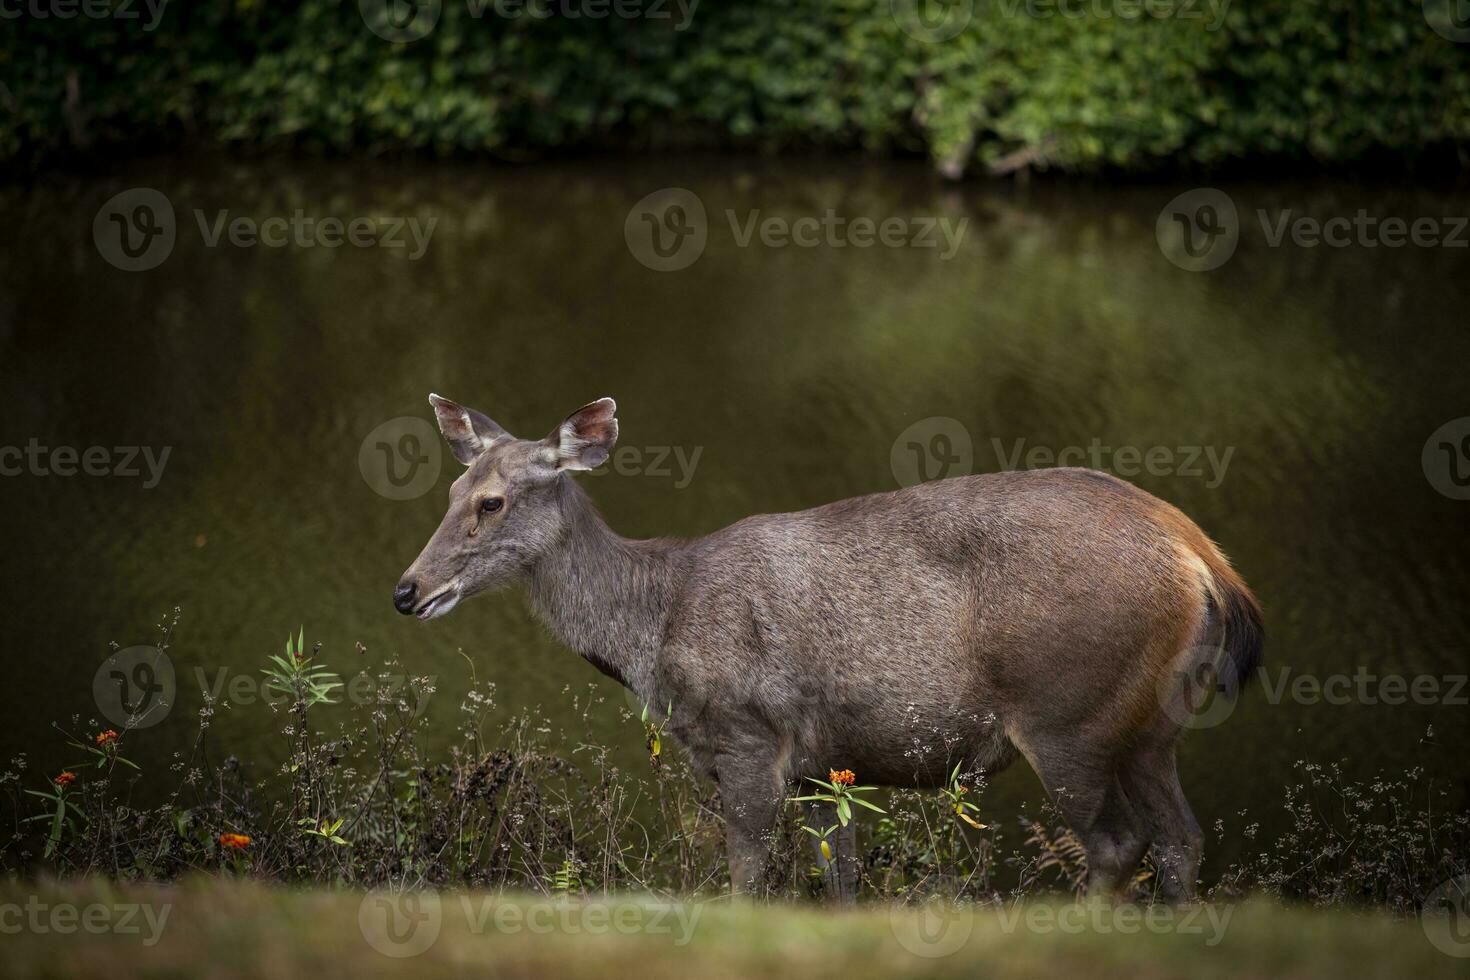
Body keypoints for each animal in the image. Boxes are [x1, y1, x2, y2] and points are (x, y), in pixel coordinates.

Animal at [393, 393, 1264, 899]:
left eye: (491, 502)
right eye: (450, 490)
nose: (405, 589)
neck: (657, 625)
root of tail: (1204, 561)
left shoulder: (746, 736)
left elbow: (746, 877)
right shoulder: (821, 765)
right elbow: (838, 882)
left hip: (1065, 712)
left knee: (1120, 842)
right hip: (1150, 726)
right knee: (1181, 839)